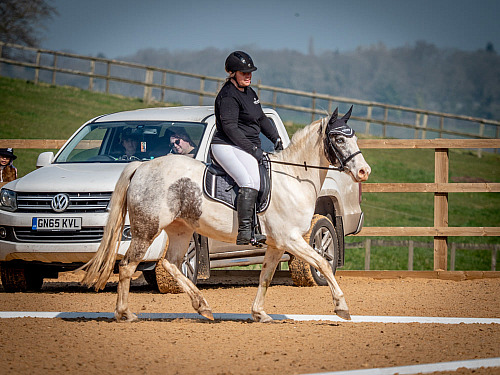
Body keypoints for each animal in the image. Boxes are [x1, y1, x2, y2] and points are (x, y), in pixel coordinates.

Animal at [82, 106, 372, 324]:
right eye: (339, 139)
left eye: (355, 138)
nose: (364, 172)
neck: (295, 177)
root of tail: (141, 167)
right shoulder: (290, 239)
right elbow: (322, 262)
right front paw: (342, 307)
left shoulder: (277, 244)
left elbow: (265, 276)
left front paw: (259, 313)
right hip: (147, 230)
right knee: (128, 265)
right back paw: (125, 314)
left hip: (181, 229)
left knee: (171, 263)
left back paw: (203, 306)